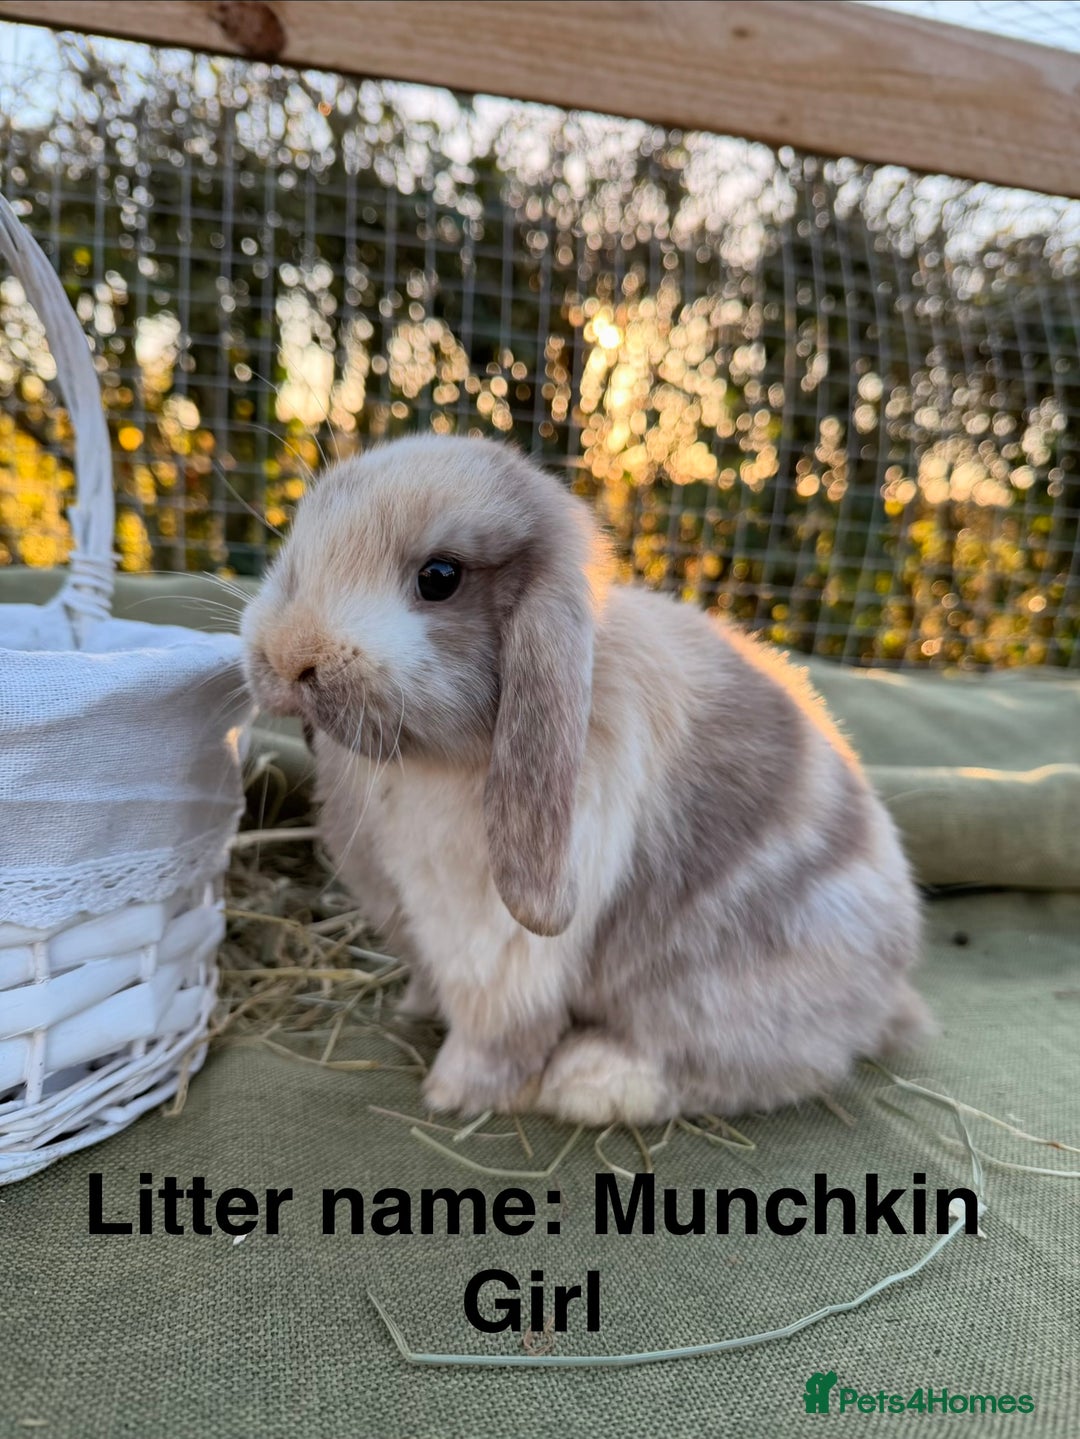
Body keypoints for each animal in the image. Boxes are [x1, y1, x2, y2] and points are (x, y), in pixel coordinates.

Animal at [241, 433, 928, 1126]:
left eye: (439, 578)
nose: (288, 655)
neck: (428, 762)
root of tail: (890, 996)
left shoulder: (497, 941)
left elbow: (497, 1027)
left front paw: (454, 1094)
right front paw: (415, 1008)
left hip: (723, 995)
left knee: (736, 1071)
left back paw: (587, 1081)